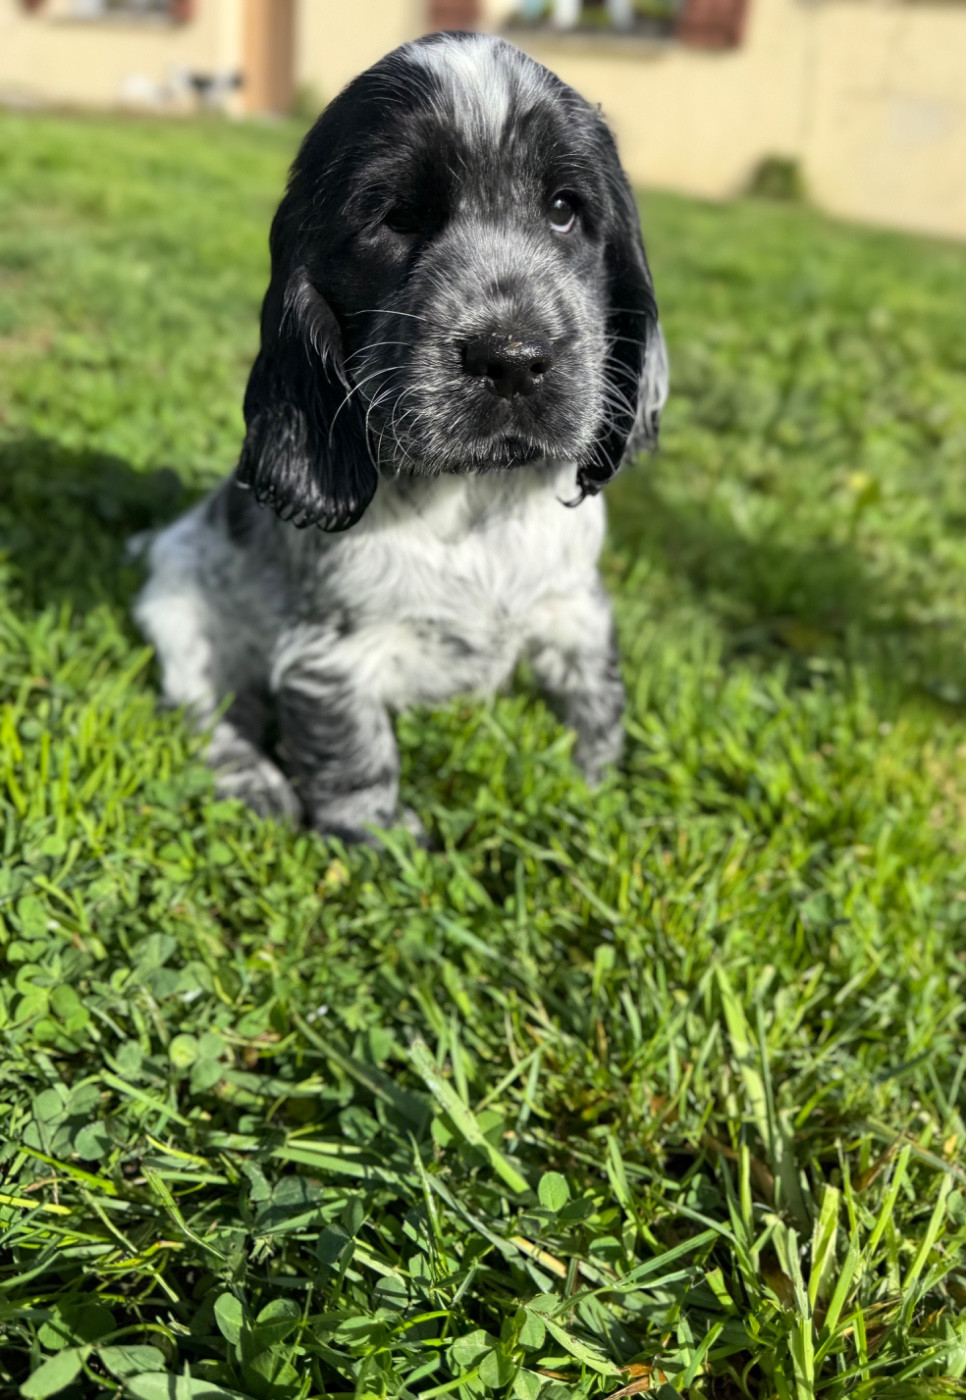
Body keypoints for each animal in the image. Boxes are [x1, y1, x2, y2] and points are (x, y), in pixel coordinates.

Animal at [134, 31, 668, 846]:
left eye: (564, 211)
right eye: (396, 218)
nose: (511, 357)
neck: (473, 497)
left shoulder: (575, 606)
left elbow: (596, 700)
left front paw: (600, 792)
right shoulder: (329, 659)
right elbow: (355, 757)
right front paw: (386, 845)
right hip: (180, 610)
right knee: (206, 708)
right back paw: (254, 784)